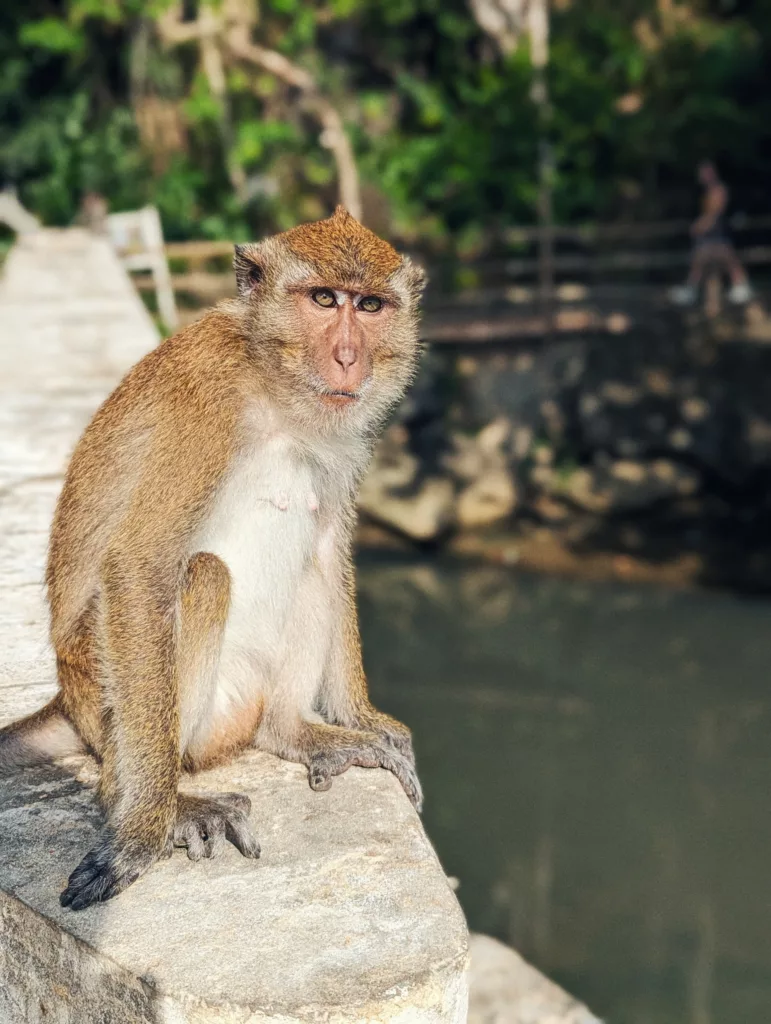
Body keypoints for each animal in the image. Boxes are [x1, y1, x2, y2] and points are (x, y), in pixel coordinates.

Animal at [0, 206, 426, 911]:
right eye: (323, 299)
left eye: (370, 306)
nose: (348, 356)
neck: (274, 388)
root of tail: (68, 699)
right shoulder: (205, 405)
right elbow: (141, 561)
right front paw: (145, 828)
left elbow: (330, 549)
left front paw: (363, 716)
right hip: (118, 695)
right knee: (202, 574)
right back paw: (152, 798)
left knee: (308, 565)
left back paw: (290, 729)